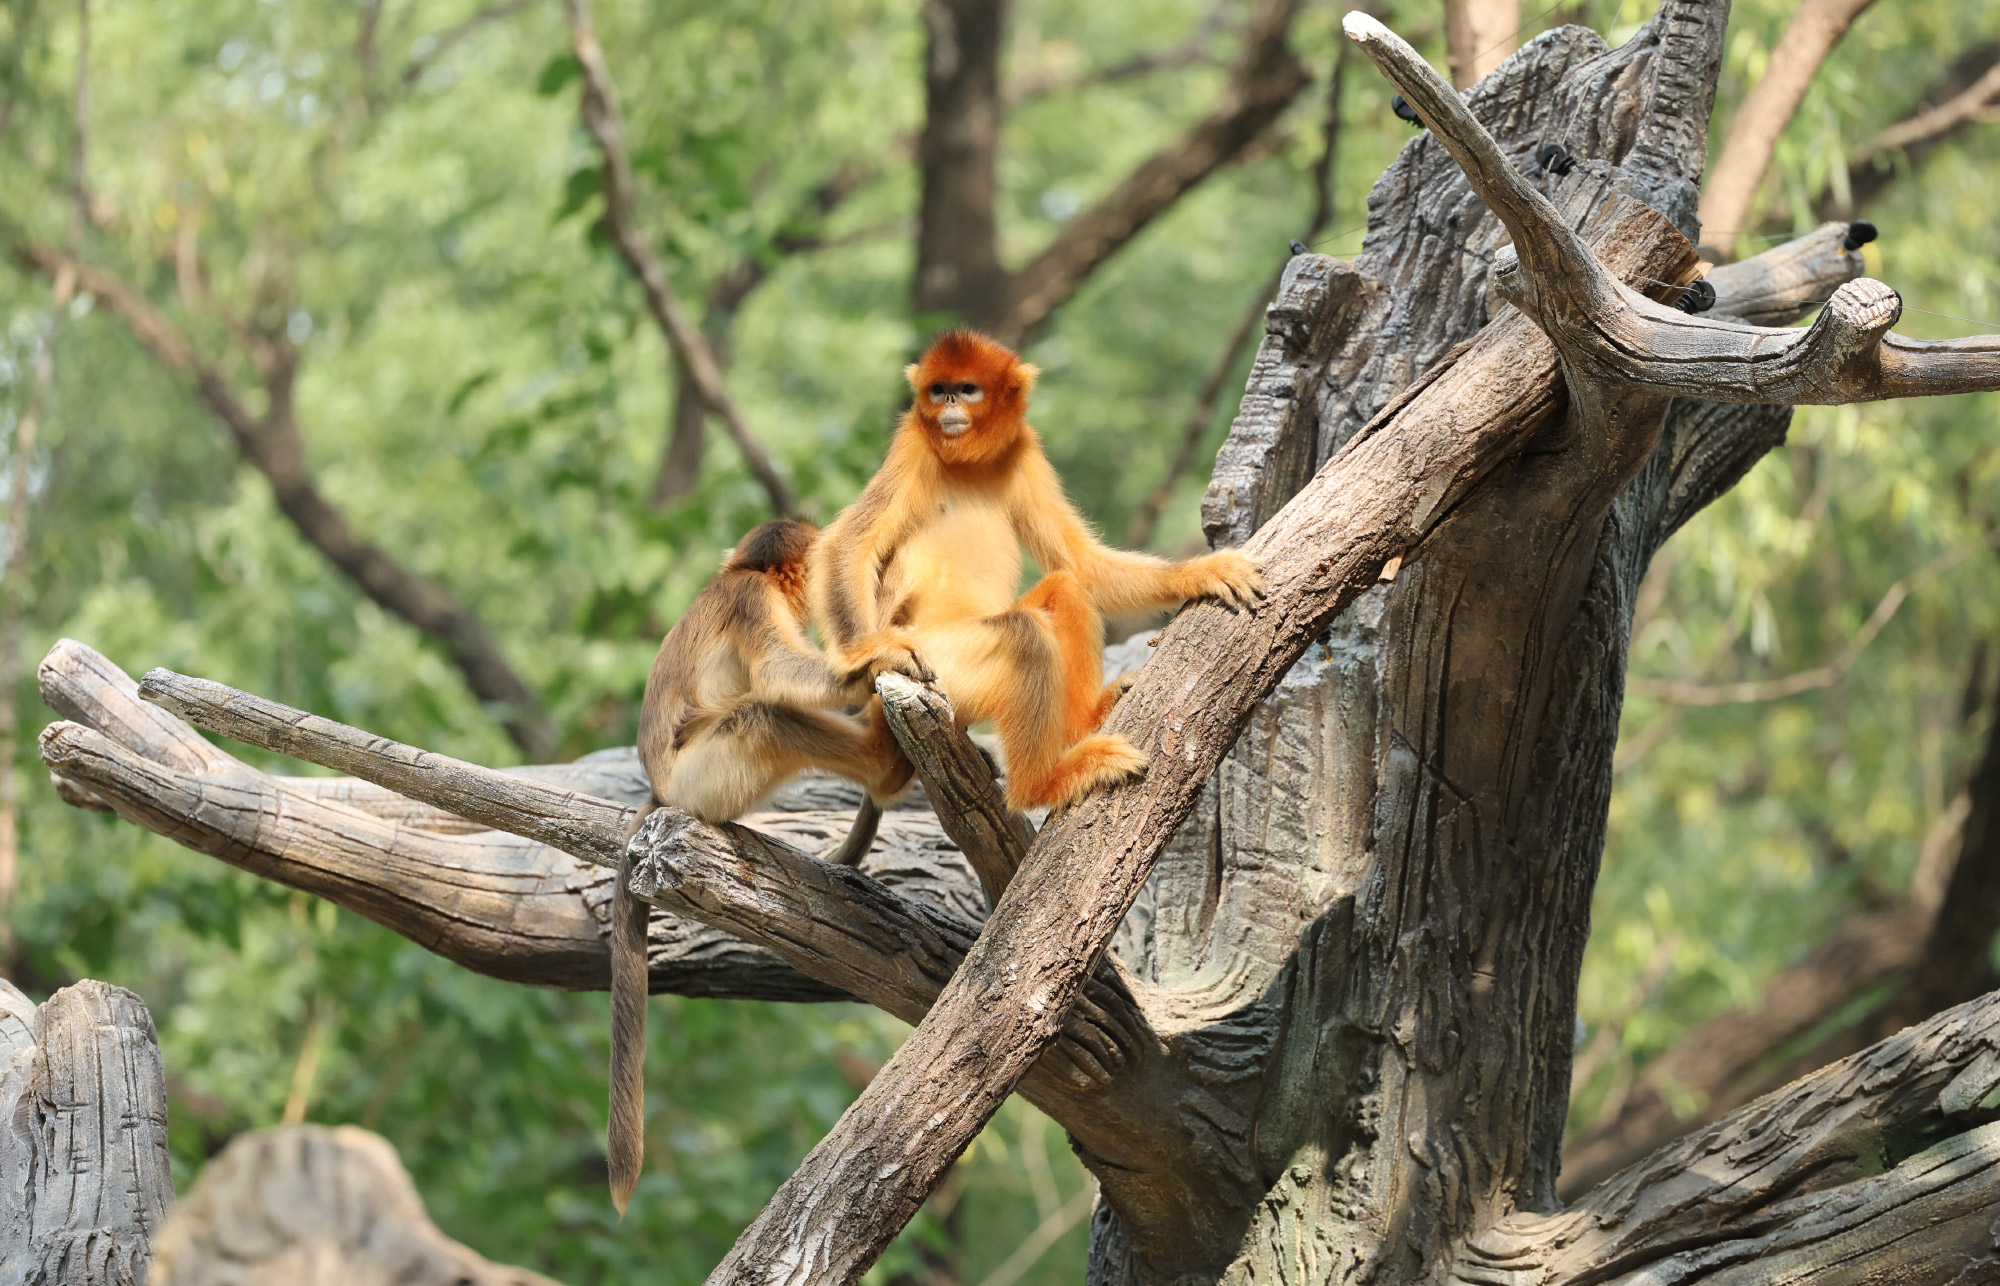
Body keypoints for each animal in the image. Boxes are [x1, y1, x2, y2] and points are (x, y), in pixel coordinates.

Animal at [608, 516, 913, 1217]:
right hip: (706, 778)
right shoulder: (753, 601)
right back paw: (886, 766)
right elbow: (776, 671)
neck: (738, 575)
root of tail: (662, 789)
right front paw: (881, 657)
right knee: (767, 711)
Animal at [810, 329, 1265, 814]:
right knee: (1024, 636)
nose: (949, 400)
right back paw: (1044, 784)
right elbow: (847, 543)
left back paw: (1087, 722)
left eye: (967, 389)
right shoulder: (912, 443)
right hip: (940, 662)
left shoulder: (1023, 448)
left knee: (1066, 589)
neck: (969, 464)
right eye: (939, 389)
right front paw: (872, 650)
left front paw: (1203, 571)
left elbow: (1078, 563)